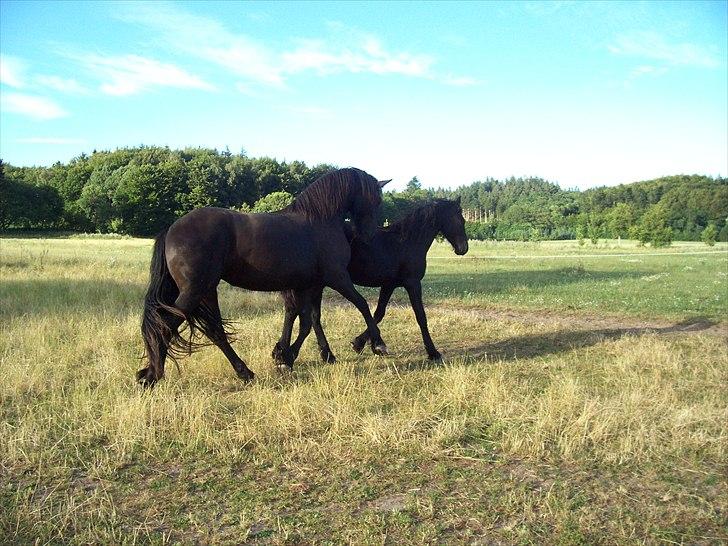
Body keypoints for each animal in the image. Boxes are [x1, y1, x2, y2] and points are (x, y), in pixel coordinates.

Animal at [143, 168, 392, 384]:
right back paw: (153, 375)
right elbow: (361, 305)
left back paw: (241, 371)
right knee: (166, 325)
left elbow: (306, 320)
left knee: (213, 330)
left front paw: (290, 356)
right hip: (195, 292)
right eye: (377, 200)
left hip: (206, 292)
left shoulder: (308, 285)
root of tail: (172, 229)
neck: (319, 220)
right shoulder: (337, 277)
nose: (368, 235)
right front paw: (377, 344)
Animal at [276, 196, 470, 366]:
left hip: (317, 285)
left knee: (307, 315)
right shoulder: (413, 283)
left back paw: (315, 354)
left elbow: (379, 313)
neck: (406, 242)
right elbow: (421, 316)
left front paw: (359, 343)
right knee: (304, 314)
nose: (463, 249)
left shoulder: (389, 285)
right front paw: (433, 352)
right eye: (460, 219)